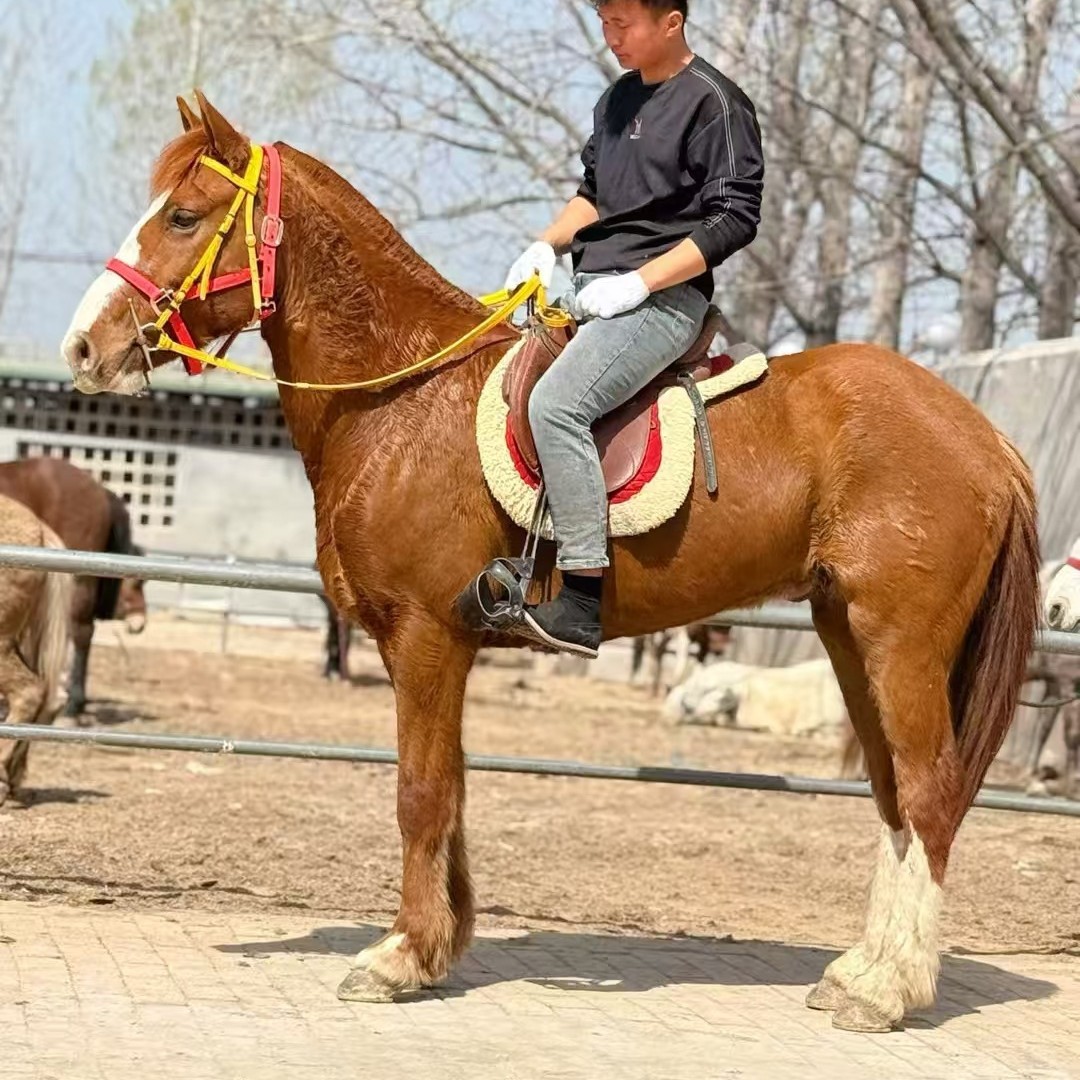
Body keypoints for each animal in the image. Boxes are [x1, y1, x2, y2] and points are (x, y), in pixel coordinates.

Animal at [60, 93, 1040, 1033]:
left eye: (184, 217)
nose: (83, 349)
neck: (403, 394)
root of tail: (987, 437)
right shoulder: (438, 649)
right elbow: (452, 791)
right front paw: (439, 947)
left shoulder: (423, 638)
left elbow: (420, 792)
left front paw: (399, 957)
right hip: (848, 637)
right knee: (894, 797)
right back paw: (859, 973)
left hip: (901, 644)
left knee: (929, 794)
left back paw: (890, 992)